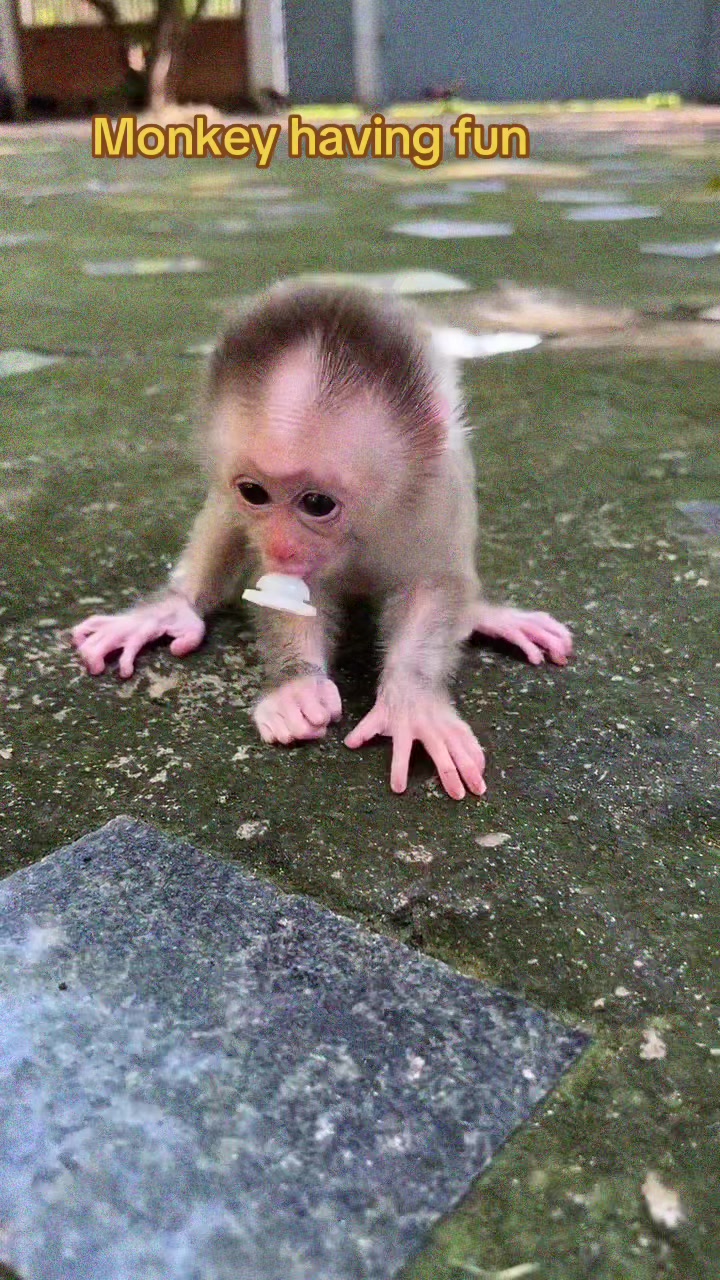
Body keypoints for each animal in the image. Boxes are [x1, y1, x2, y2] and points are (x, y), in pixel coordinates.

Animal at [72, 282, 572, 800]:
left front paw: (411, 700)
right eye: (254, 492)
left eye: (317, 503)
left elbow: (433, 585)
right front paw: (297, 687)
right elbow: (284, 589)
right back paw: (172, 606)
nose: (281, 544)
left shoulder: (436, 490)